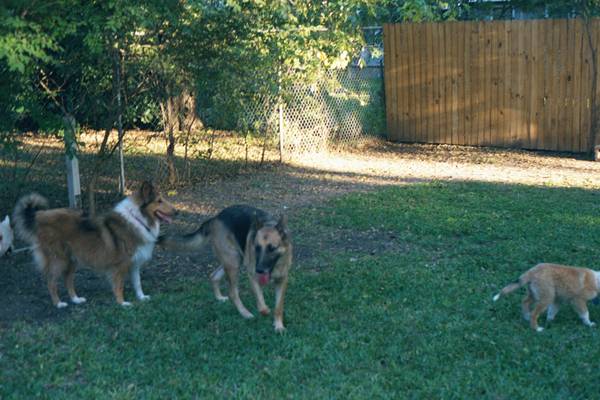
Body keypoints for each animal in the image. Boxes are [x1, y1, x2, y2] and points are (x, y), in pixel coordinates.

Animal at [12, 180, 176, 308]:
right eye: (159, 201)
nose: (177, 212)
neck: (138, 218)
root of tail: (38, 216)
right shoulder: (120, 265)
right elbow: (119, 285)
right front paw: (122, 303)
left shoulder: (134, 262)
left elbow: (137, 283)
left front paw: (142, 298)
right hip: (59, 259)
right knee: (51, 281)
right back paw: (58, 303)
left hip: (72, 259)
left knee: (68, 280)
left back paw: (76, 299)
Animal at [158, 206, 292, 332]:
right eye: (257, 248)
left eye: (272, 248)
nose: (259, 270)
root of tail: (215, 217)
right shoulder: (252, 276)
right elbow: (261, 303)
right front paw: (265, 311)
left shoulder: (282, 280)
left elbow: (278, 307)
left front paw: (278, 325)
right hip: (233, 262)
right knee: (232, 293)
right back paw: (245, 313)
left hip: (233, 260)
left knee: (213, 276)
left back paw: (219, 298)